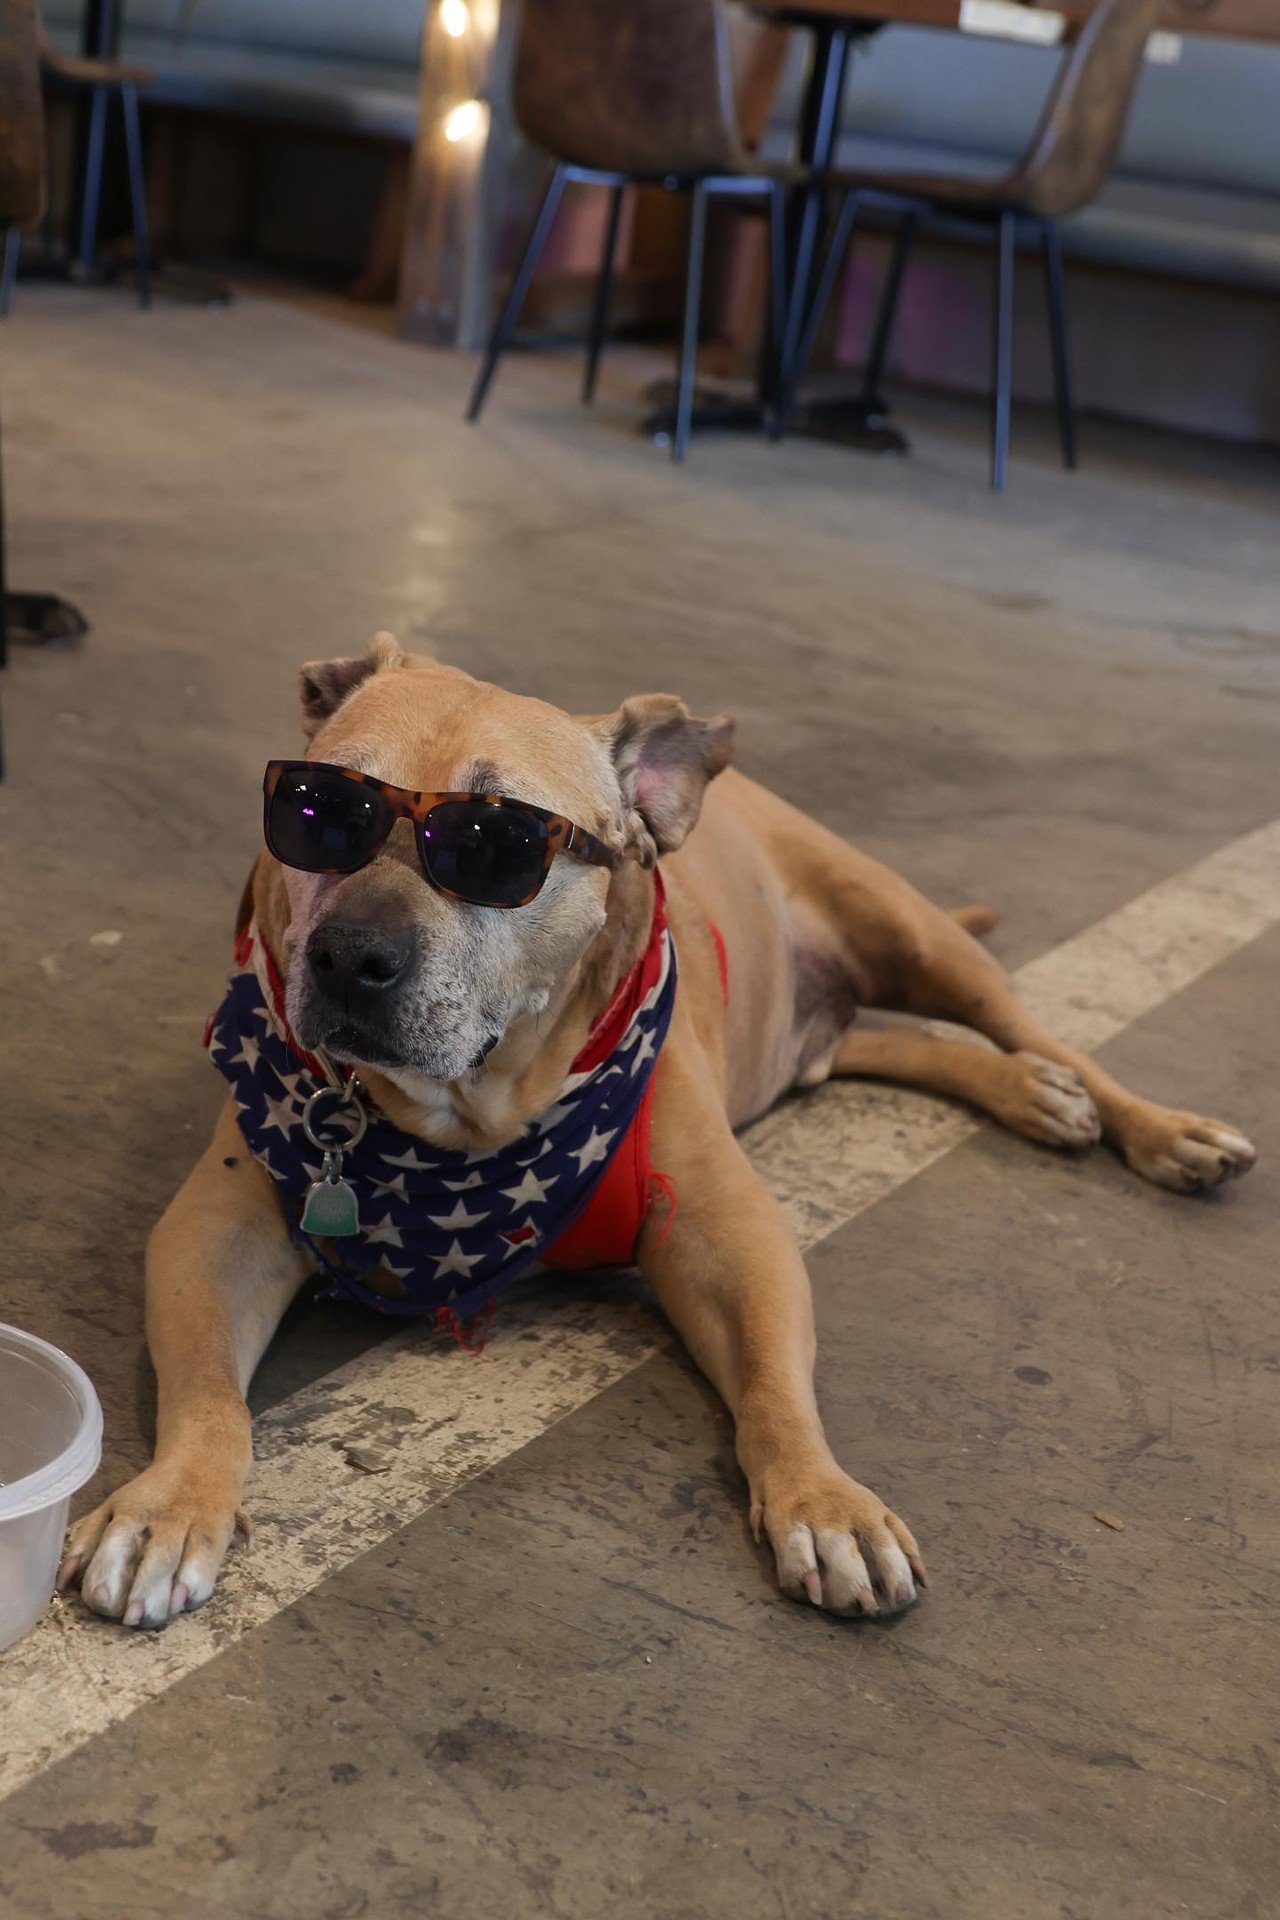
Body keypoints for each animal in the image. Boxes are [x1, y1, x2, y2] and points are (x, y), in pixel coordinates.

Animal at [57, 641, 1251, 1620]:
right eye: (313, 811)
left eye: (491, 845)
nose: (350, 955)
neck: (468, 1121)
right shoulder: (218, 1227)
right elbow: (209, 1391)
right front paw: (171, 1504)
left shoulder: (727, 1235)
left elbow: (773, 1386)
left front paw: (824, 1501)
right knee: (893, 1044)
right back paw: (1029, 1093)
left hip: (920, 939)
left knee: (1039, 1030)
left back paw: (1154, 1125)